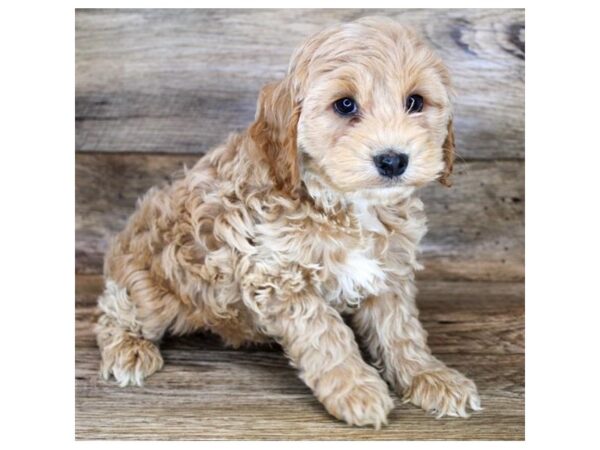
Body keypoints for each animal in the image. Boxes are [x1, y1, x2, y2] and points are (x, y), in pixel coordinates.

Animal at [96, 15, 480, 428]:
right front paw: (357, 391)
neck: (347, 204)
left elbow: (400, 331)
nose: (392, 160)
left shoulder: (388, 270)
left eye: (415, 101)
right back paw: (129, 350)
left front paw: (431, 376)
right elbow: (326, 333)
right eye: (345, 105)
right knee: (113, 310)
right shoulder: (279, 277)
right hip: (154, 291)